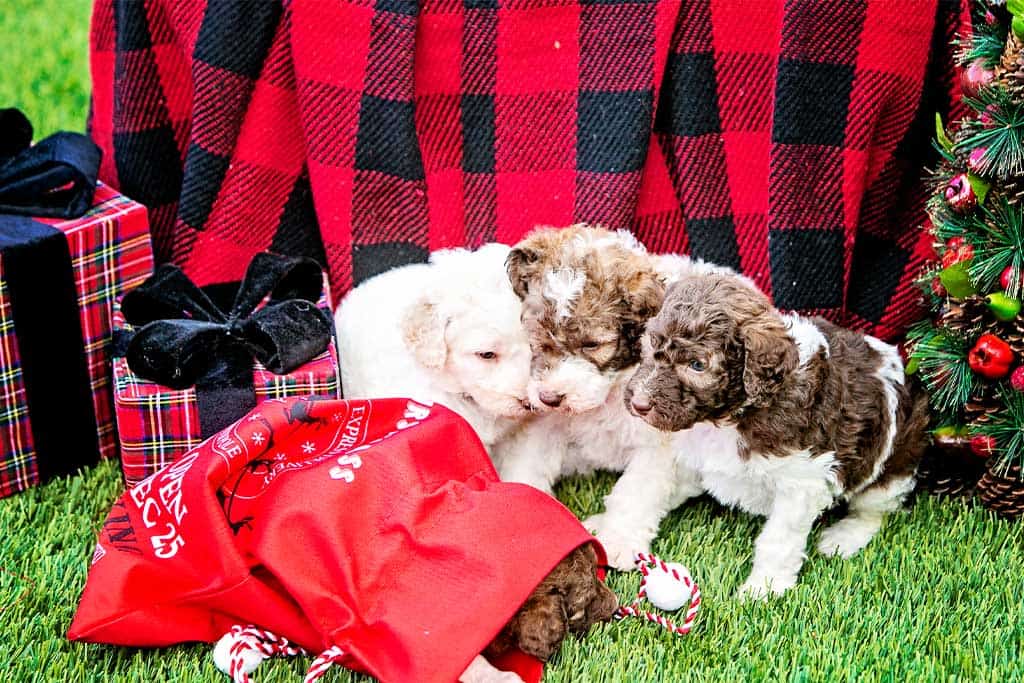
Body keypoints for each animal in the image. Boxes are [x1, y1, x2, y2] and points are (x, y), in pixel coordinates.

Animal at [491, 225, 708, 573]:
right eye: (538, 333)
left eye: (592, 344)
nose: (550, 396)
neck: (609, 391)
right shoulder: (546, 424)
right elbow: (529, 463)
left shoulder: (657, 442)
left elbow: (636, 491)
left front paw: (618, 539)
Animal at [622, 270, 929, 598]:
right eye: (651, 341)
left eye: (697, 365)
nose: (638, 404)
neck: (731, 417)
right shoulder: (690, 453)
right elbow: (646, 489)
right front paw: (617, 533)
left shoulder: (800, 484)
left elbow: (778, 541)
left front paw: (763, 589)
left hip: (890, 467)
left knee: (875, 510)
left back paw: (844, 537)